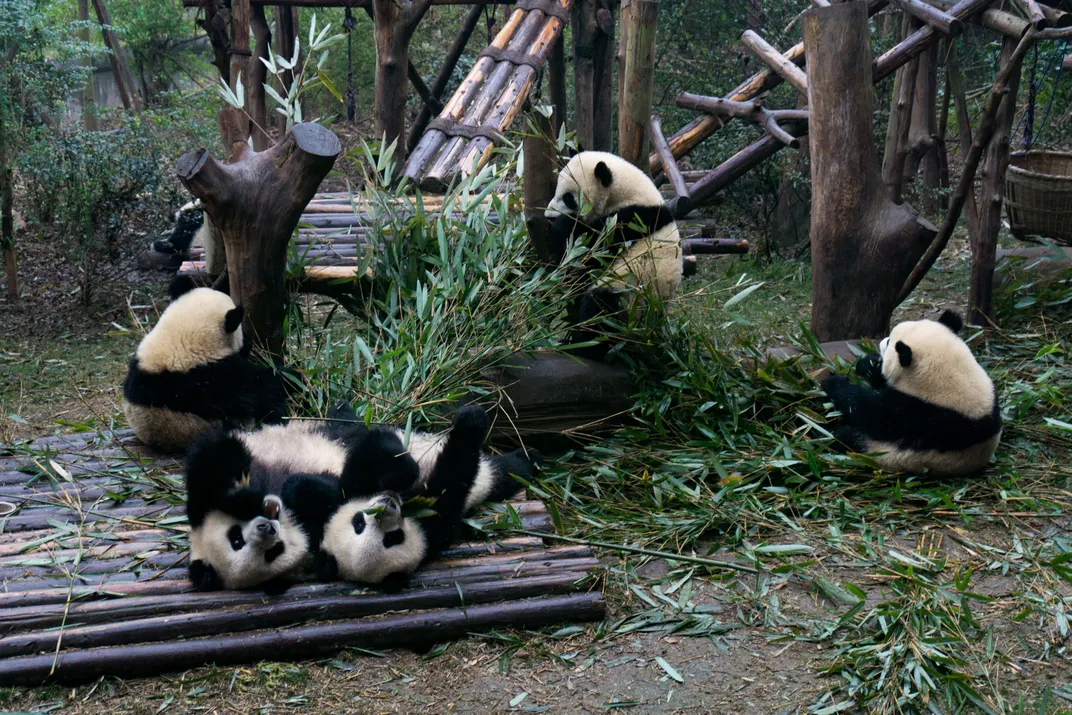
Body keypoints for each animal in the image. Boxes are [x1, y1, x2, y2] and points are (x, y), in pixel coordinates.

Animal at [312, 405, 543, 587]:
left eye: (357, 522)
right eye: (392, 538)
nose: (386, 504)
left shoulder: (348, 487)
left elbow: (370, 449)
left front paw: (401, 470)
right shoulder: (435, 529)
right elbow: (452, 479)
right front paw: (471, 422)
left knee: (352, 427)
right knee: (505, 472)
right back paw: (527, 458)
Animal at [544, 151, 683, 359]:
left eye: (568, 198)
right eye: (555, 190)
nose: (548, 216)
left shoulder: (630, 221)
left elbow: (592, 252)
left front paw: (562, 226)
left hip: (628, 292)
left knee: (600, 311)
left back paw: (582, 346)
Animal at [821, 310, 1002, 477]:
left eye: (889, 342)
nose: (881, 341)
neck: (953, 374)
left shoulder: (920, 413)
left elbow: (868, 411)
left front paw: (833, 383)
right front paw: (870, 364)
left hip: (880, 452)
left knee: (845, 438)